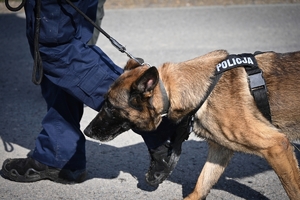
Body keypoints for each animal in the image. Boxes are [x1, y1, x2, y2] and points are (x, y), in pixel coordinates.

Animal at [84, 50, 300, 200]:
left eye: (110, 106)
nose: (86, 131)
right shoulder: (220, 151)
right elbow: (201, 184)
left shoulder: (277, 146)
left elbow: (294, 189)